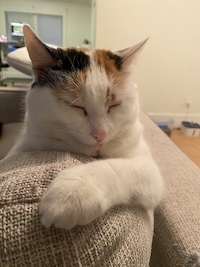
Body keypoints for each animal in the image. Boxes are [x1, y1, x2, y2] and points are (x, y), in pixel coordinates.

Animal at [7, 24, 164, 230]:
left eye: (114, 105)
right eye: (75, 106)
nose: (100, 134)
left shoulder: (147, 167)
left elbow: (114, 167)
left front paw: (73, 193)